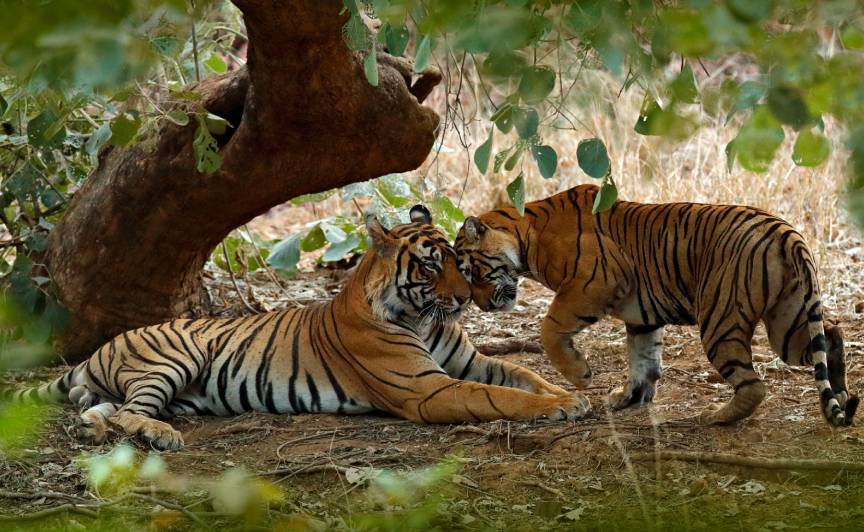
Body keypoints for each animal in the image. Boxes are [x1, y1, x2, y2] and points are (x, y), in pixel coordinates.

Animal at [8, 205, 589, 450]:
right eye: (430, 266)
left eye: (457, 261)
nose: (466, 300)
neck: (423, 319)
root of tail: (99, 348)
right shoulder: (428, 389)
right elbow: (500, 397)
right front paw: (559, 407)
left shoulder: (474, 361)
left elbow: (523, 375)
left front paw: (571, 394)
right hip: (171, 359)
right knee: (133, 412)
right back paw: (161, 436)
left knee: (103, 409)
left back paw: (95, 428)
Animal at [454, 184, 858, 427]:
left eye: (470, 270)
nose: (481, 305)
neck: (527, 234)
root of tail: (784, 231)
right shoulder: (642, 316)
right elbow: (643, 359)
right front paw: (628, 398)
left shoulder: (593, 283)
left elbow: (550, 328)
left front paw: (581, 375)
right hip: (786, 321)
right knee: (831, 335)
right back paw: (839, 395)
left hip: (720, 319)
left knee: (754, 385)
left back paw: (716, 416)